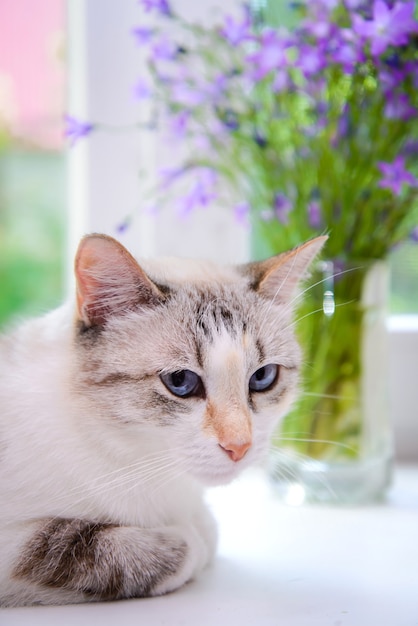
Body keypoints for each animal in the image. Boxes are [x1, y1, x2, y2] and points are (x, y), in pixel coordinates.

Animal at [0, 232, 326, 604]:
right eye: (180, 381)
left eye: (263, 377)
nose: (239, 446)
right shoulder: (18, 544)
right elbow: (172, 548)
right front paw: (190, 539)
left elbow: (207, 530)